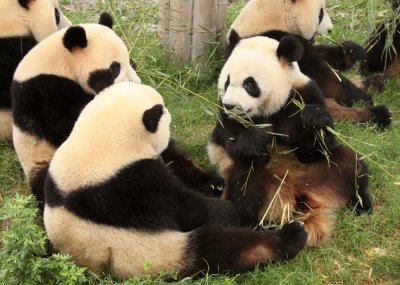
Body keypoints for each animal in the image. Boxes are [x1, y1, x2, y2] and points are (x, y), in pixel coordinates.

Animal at [43, 81, 306, 278]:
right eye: (164, 113)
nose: (170, 116)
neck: (100, 140)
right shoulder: (126, 186)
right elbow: (184, 207)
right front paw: (226, 208)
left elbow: (173, 159)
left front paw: (213, 183)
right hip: (156, 253)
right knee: (219, 248)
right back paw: (291, 235)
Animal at [208, 35, 374, 244]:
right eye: (227, 82)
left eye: (249, 84)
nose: (230, 105)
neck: (269, 110)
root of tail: (298, 195)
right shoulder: (225, 118)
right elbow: (231, 143)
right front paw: (259, 136)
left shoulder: (303, 94)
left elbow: (313, 149)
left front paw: (314, 119)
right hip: (261, 185)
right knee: (245, 186)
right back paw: (260, 225)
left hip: (324, 173)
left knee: (350, 164)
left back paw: (361, 203)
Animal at [227, 0, 392, 127]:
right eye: (321, 13)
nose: (330, 29)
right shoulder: (277, 40)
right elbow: (326, 78)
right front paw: (363, 98)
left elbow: (324, 55)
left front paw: (352, 50)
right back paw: (378, 113)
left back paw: (375, 83)